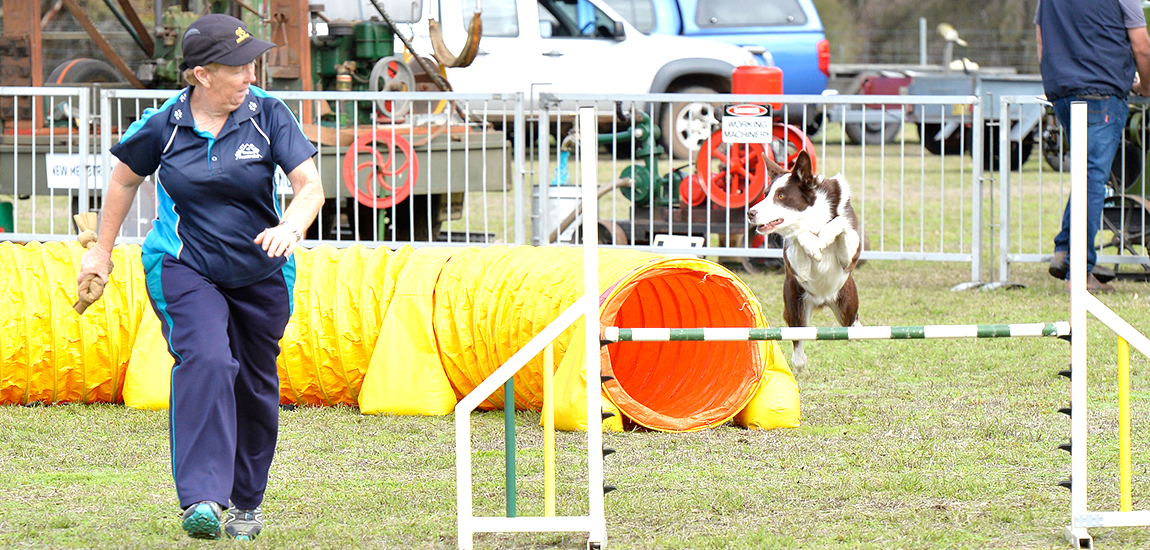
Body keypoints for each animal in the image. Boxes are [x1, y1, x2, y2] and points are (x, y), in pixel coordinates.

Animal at [749, 153, 860, 372]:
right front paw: (813, 246)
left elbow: (840, 222)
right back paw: (799, 362)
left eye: (781, 196)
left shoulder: (849, 259)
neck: (814, 219)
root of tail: (823, 300)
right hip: (795, 303)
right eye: (765, 194)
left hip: (846, 306)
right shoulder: (798, 268)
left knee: (853, 322)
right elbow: (798, 232)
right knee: (798, 337)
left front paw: (825, 236)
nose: (750, 213)